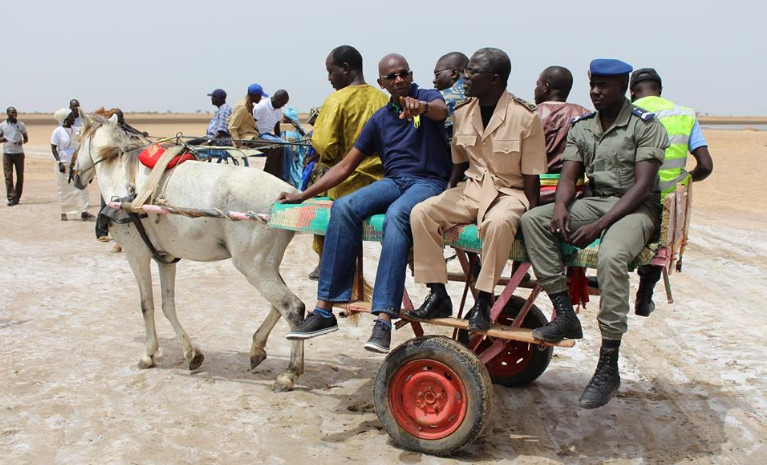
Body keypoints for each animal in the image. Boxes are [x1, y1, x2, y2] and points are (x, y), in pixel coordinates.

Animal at [71, 114, 306, 390]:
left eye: (76, 138)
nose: (72, 174)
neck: (126, 179)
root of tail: (291, 194)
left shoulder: (136, 255)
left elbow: (146, 304)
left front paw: (149, 354)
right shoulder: (165, 259)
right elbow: (167, 305)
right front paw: (191, 354)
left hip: (253, 267)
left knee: (293, 307)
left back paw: (290, 373)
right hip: (266, 265)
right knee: (279, 306)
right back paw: (257, 348)